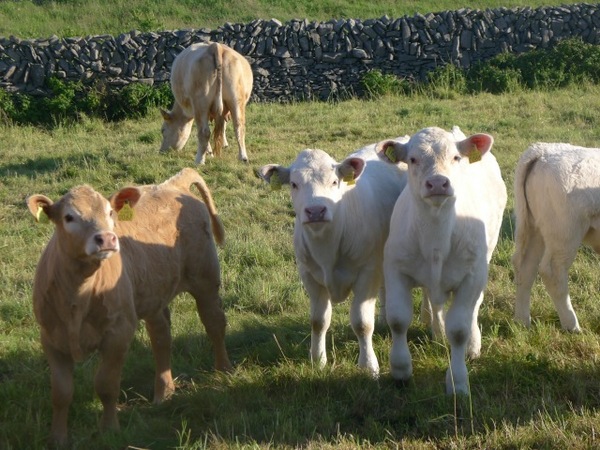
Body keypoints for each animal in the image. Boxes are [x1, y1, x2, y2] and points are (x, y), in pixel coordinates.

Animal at [26, 168, 231, 446]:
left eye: (110, 213)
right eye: (69, 217)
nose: (106, 238)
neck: (78, 295)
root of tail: (173, 184)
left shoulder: (119, 334)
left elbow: (106, 385)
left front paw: (109, 429)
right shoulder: (51, 338)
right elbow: (61, 393)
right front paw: (57, 438)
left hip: (205, 280)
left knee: (214, 324)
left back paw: (223, 369)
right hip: (154, 294)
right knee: (161, 336)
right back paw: (163, 392)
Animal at [258, 140, 408, 375]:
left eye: (334, 181)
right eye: (293, 184)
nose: (315, 210)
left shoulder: (367, 273)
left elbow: (362, 323)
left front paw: (368, 365)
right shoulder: (309, 276)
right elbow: (318, 321)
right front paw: (318, 360)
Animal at [377, 126, 507, 395]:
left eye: (456, 157)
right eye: (412, 159)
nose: (437, 182)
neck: (435, 239)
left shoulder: (472, 276)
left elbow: (459, 329)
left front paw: (458, 381)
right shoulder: (395, 269)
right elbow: (398, 319)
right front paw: (401, 370)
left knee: (474, 308)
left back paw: (472, 345)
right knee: (432, 298)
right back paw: (436, 329)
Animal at [513, 142, 600, 332]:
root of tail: (543, 150)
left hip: (536, 229)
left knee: (526, 268)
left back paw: (522, 321)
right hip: (565, 234)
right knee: (552, 272)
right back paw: (572, 326)